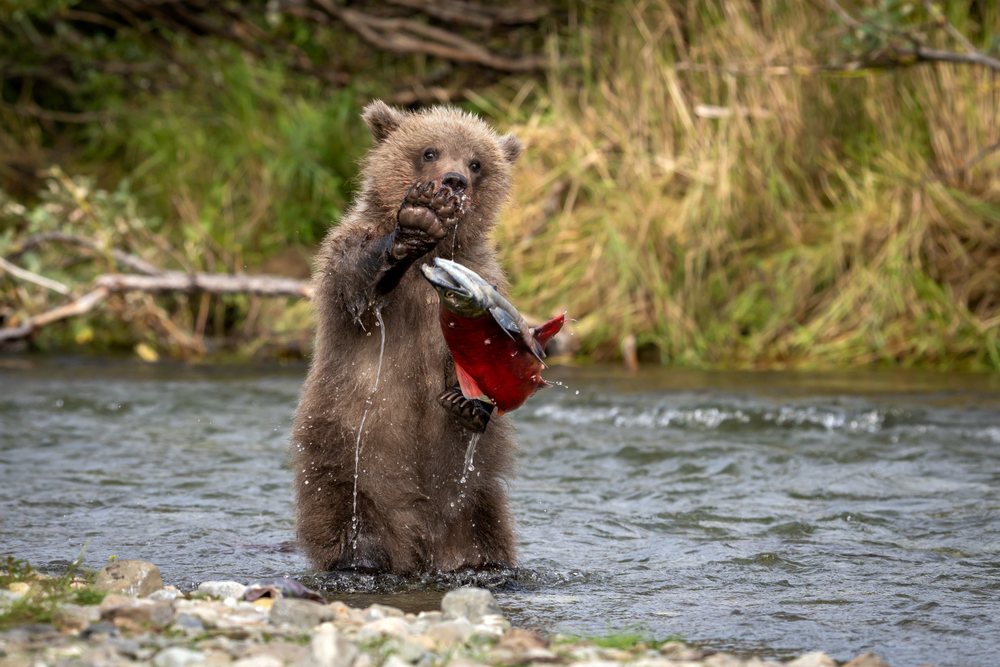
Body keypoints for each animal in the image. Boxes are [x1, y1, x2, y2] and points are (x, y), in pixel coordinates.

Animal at [290, 100, 523, 574]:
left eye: (476, 162)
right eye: (429, 151)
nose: (453, 181)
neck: (431, 260)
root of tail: (417, 546)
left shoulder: (484, 273)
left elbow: (474, 347)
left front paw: (466, 401)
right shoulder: (347, 253)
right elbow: (354, 281)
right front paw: (414, 223)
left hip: (475, 503)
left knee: (486, 535)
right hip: (343, 462)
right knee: (343, 522)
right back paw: (360, 557)